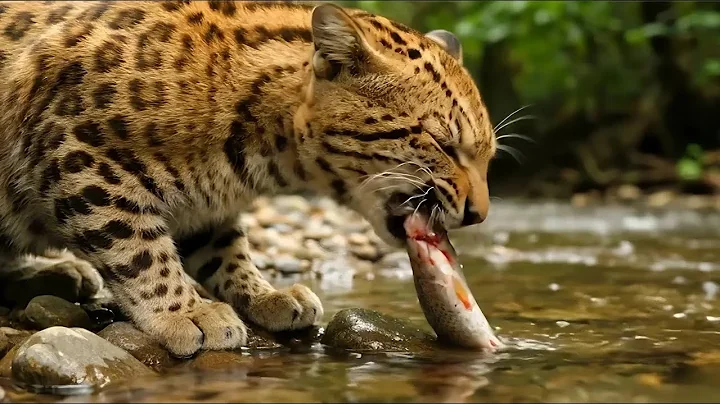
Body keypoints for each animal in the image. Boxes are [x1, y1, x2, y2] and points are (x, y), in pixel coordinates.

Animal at [0, 0, 496, 358]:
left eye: (487, 155)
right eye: (444, 144)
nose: (480, 214)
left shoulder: (204, 204)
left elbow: (224, 248)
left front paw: (264, 295)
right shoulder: (79, 150)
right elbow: (136, 245)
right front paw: (187, 312)